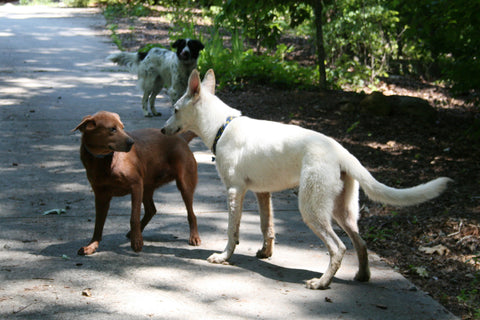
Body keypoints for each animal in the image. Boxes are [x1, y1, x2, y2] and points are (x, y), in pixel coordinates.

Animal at [72, 110, 199, 255]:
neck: (104, 160)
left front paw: (137, 242)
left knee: (191, 214)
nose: (131, 142)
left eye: (123, 127)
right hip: (147, 187)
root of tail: (181, 137)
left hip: (184, 184)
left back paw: (194, 237)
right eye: (112, 129)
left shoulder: (136, 185)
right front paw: (91, 245)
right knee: (151, 210)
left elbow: (134, 217)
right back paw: (133, 233)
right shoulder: (101, 195)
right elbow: (98, 224)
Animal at [161, 70, 450, 290]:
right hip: (341, 211)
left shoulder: (235, 191)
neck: (223, 125)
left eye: (174, 109)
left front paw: (224, 257)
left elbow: (233, 231)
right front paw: (265, 253)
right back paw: (362, 276)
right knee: (361, 243)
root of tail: (341, 151)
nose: (162, 130)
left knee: (338, 248)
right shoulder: (262, 193)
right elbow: (267, 226)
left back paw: (321, 283)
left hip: (311, 209)